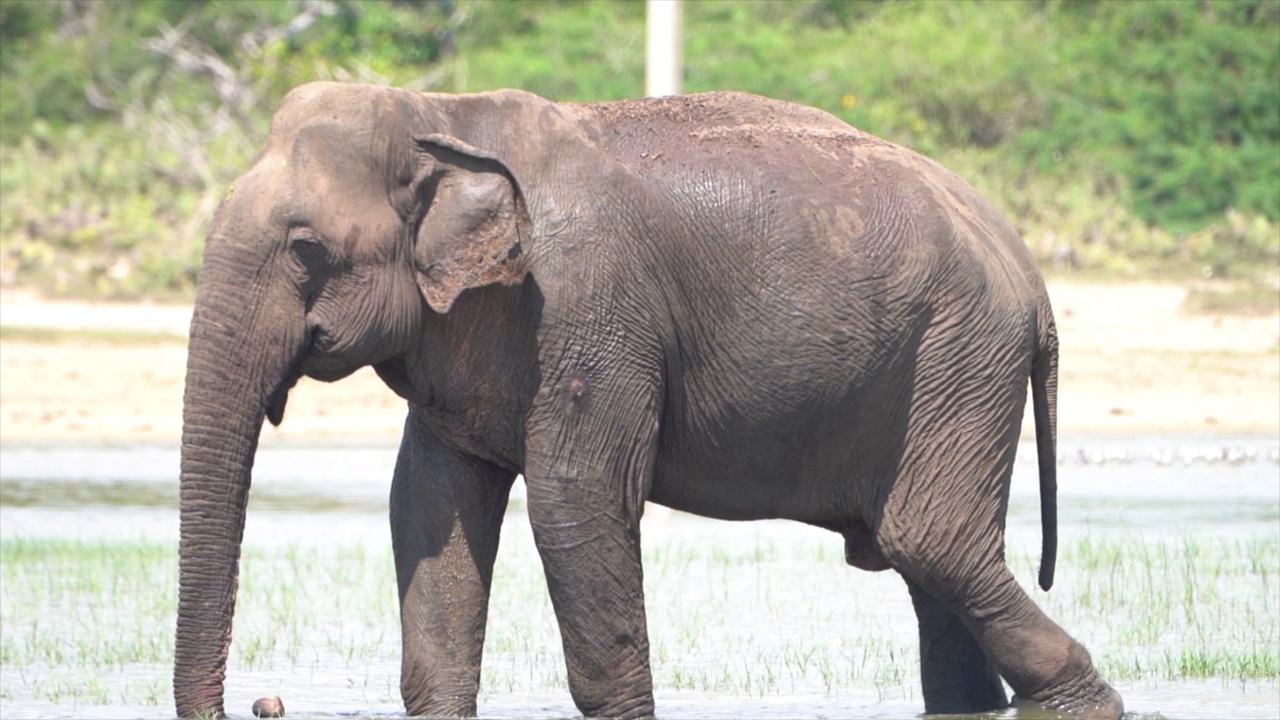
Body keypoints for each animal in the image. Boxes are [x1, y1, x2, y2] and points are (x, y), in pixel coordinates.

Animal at [177, 81, 1121, 712]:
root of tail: (1030, 273)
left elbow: (575, 505)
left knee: (933, 545)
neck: (440, 113)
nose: (262, 704)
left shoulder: (588, 311)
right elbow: (428, 505)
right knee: (934, 572)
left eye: (305, 249)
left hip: (959, 360)